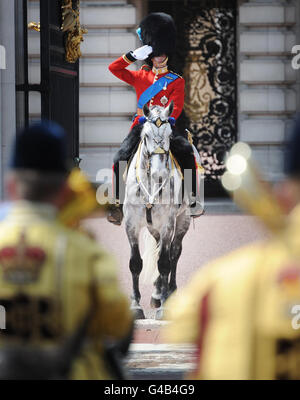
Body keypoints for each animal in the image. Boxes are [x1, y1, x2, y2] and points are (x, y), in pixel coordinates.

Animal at [123, 101, 190, 320]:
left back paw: (169, 293)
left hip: (183, 221)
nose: (159, 174)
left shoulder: (168, 224)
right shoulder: (131, 225)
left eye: (170, 135)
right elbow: (135, 263)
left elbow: (165, 263)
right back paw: (157, 293)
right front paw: (135, 305)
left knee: (174, 253)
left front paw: (164, 307)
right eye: (145, 136)